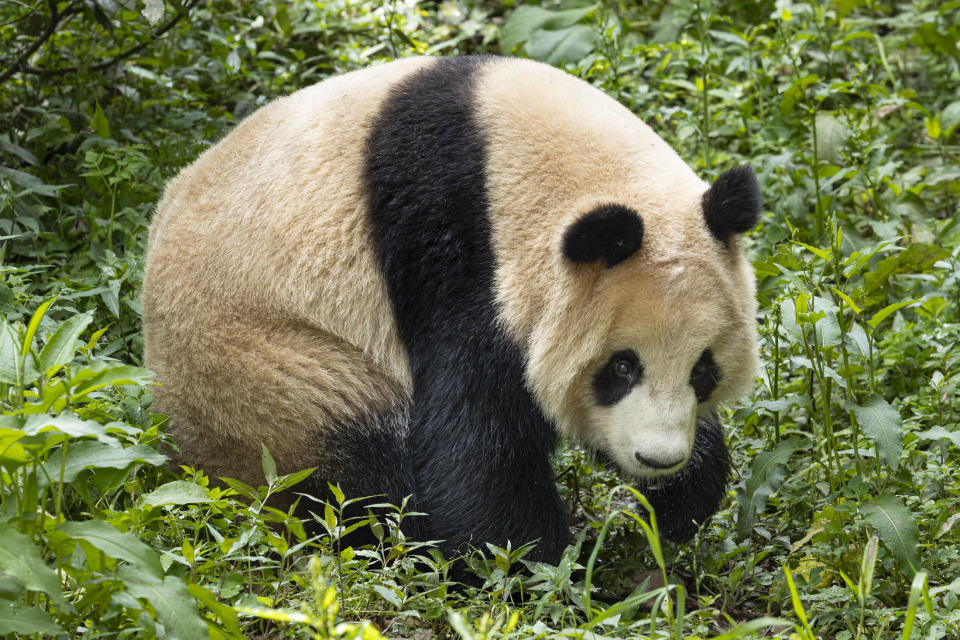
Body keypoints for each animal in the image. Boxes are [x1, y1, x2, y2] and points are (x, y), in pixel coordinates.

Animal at [142, 56, 760, 564]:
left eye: (703, 369)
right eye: (621, 366)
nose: (658, 459)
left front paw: (679, 502)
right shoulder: (454, 253)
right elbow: (473, 440)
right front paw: (534, 565)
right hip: (268, 372)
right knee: (355, 462)